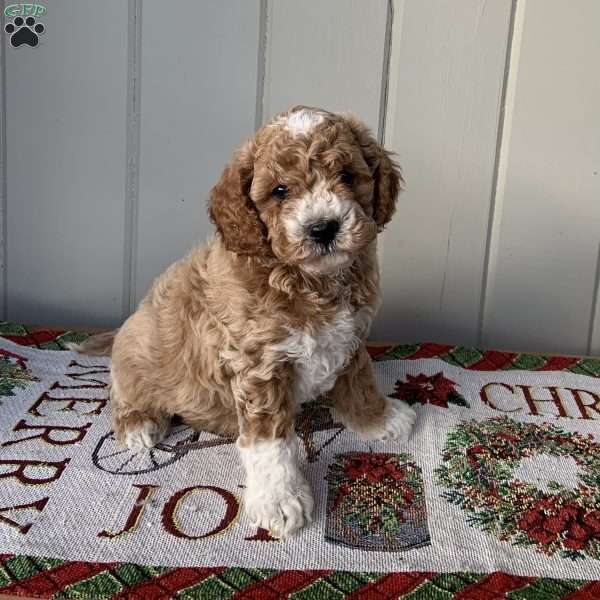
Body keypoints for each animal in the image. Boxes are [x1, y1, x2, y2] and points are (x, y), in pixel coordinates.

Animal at [72, 104, 414, 540]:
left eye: (348, 176)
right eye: (280, 191)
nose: (323, 228)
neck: (311, 281)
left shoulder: (350, 338)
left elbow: (360, 382)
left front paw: (379, 418)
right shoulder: (259, 366)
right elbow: (270, 444)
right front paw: (279, 500)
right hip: (137, 353)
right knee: (121, 391)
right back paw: (138, 424)